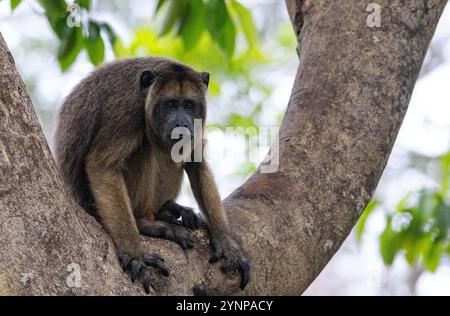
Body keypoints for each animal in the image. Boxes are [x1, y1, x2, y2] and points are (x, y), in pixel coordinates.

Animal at [54, 56, 250, 294]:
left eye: (189, 105)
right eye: (170, 104)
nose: (182, 123)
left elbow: (196, 163)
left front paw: (227, 243)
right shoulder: (128, 110)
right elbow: (103, 166)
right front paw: (135, 255)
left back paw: (166, 210)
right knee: (145, 145)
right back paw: (145, 223)